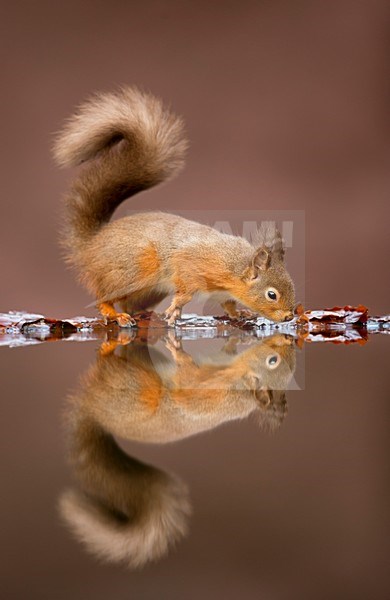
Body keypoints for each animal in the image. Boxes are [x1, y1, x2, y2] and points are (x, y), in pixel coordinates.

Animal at [53, 86, 294, 326]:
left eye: (291, 284)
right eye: (271, 294)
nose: (289, 316)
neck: (234, 268)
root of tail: (92, 244)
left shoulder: (222, 293)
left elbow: (228, 304)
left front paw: (239, 313)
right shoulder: (192, 266)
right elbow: (185, 290)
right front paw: (175, 308)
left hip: (148, 290)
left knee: (129, 304)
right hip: (130, 272)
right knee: (104, 297)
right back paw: (115, 314)